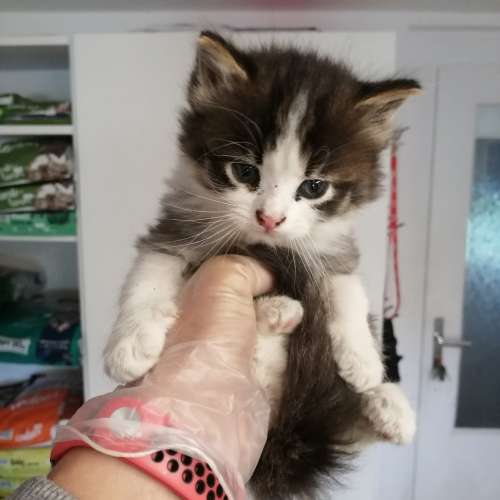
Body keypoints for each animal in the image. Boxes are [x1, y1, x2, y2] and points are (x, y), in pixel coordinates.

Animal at [103, 31, 420, 499]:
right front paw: (127, 345)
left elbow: (347, 289)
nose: (270, 218)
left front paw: (363, 359)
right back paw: (275, 311)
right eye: (244, 171)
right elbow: (148, 276)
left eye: (314, 187)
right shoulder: (173, 232)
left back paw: (387, 406)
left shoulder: (332, 248)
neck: (262, 245)